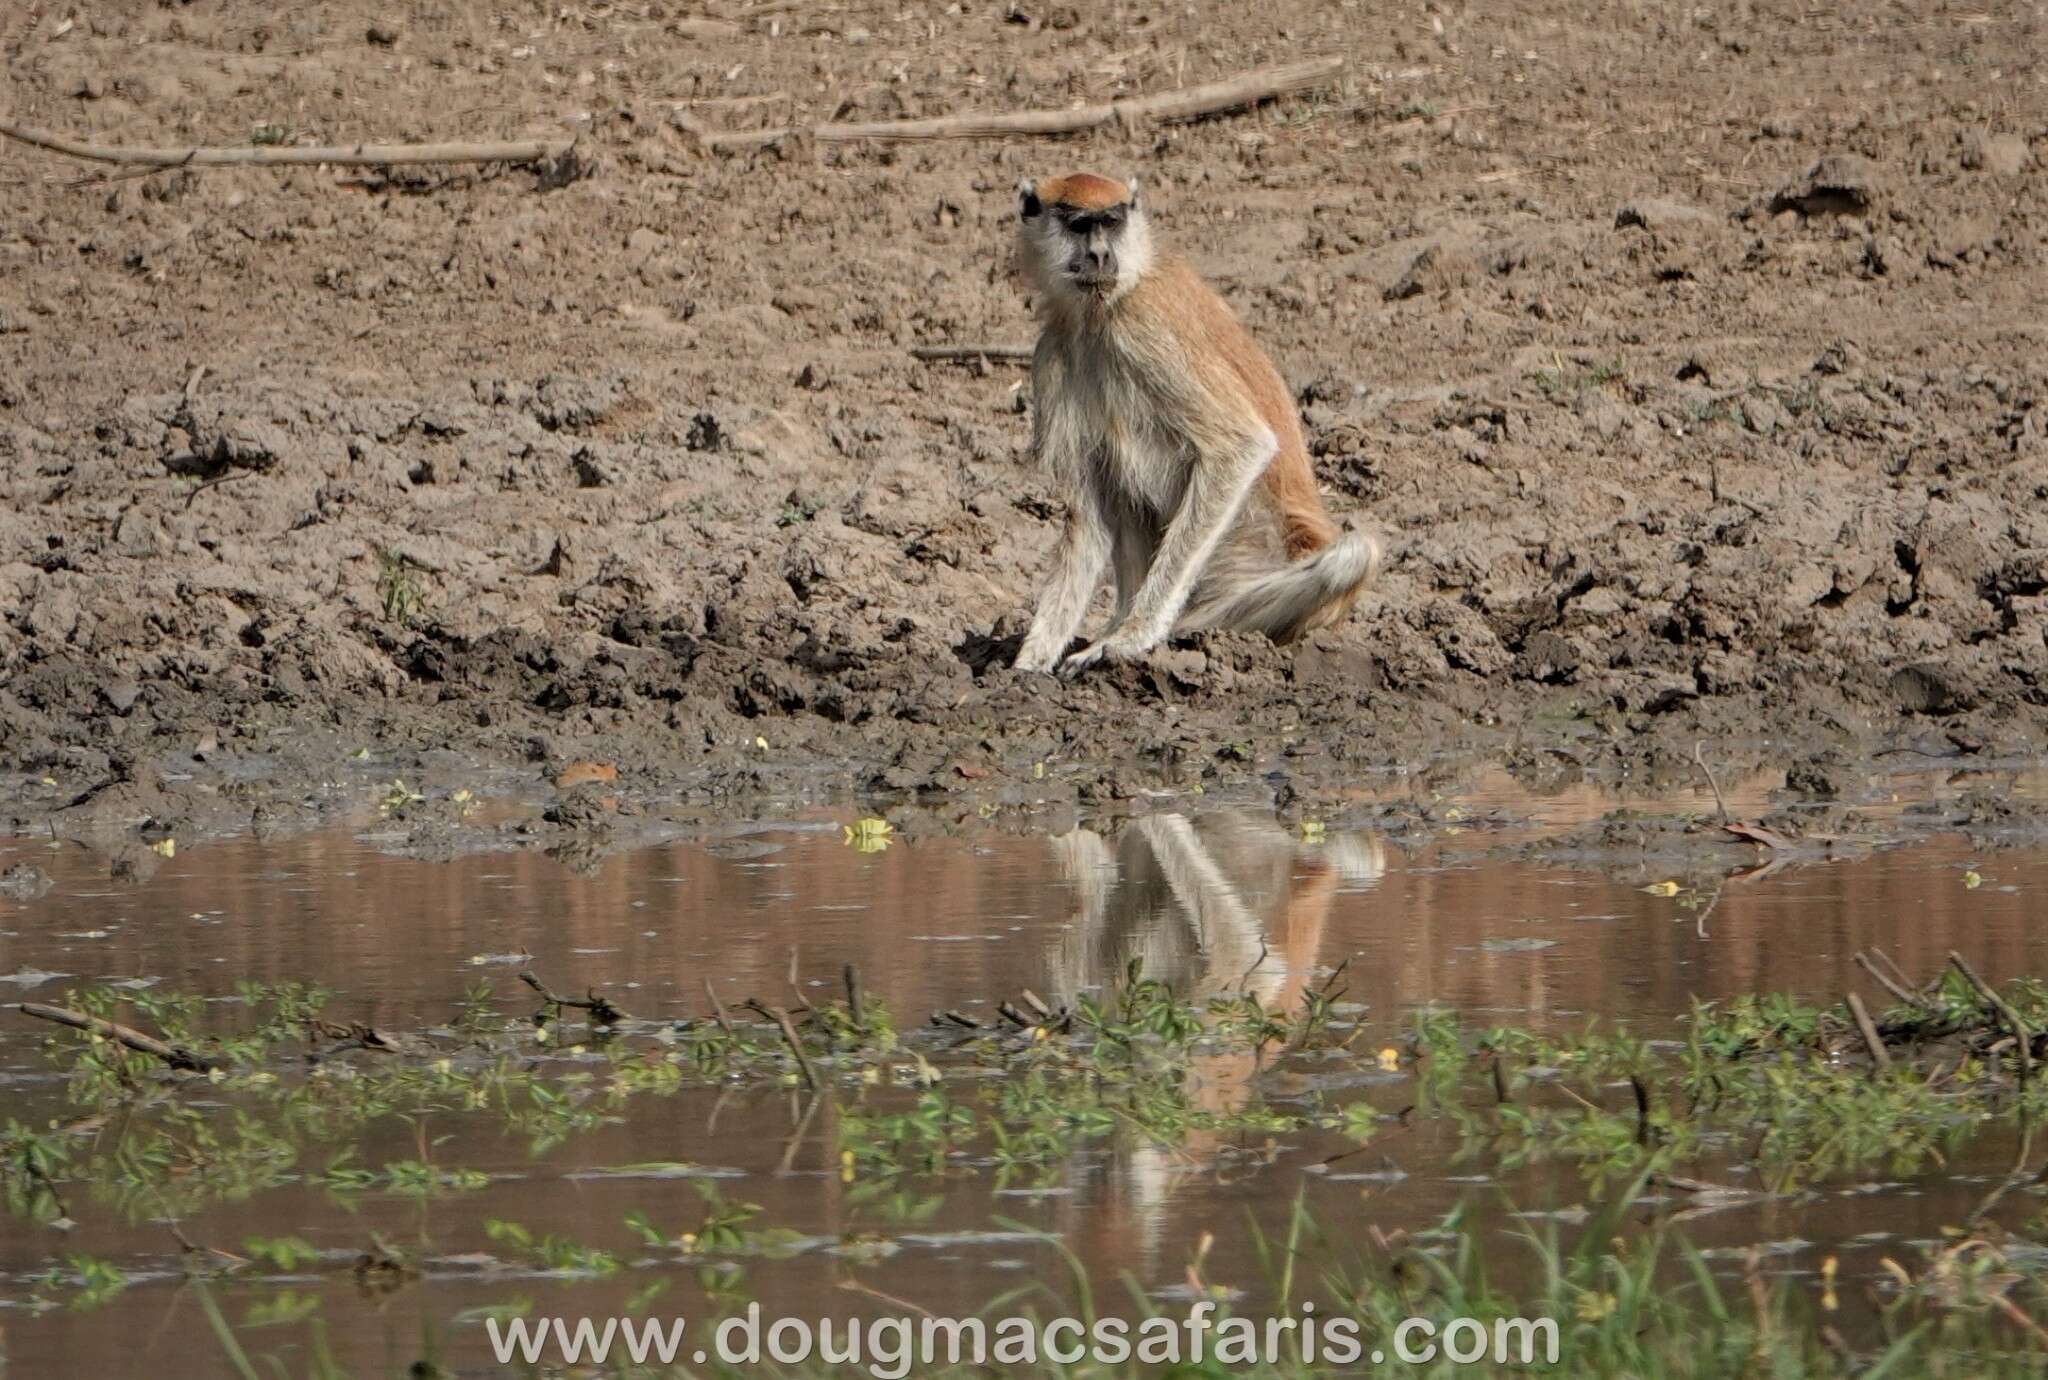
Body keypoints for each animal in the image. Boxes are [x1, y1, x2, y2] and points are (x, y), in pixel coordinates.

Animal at [1007, 171, 1376, 675]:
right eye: (1080, 225)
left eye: (1112, 222)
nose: (1100, 255)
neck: (1101, 311)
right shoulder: (1053, 353)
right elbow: (1086, 516)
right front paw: (1030, 663)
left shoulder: (1144, 325)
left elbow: (1242, 448)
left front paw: (1130, 637)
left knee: (1352, 556)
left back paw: (1178, 632)